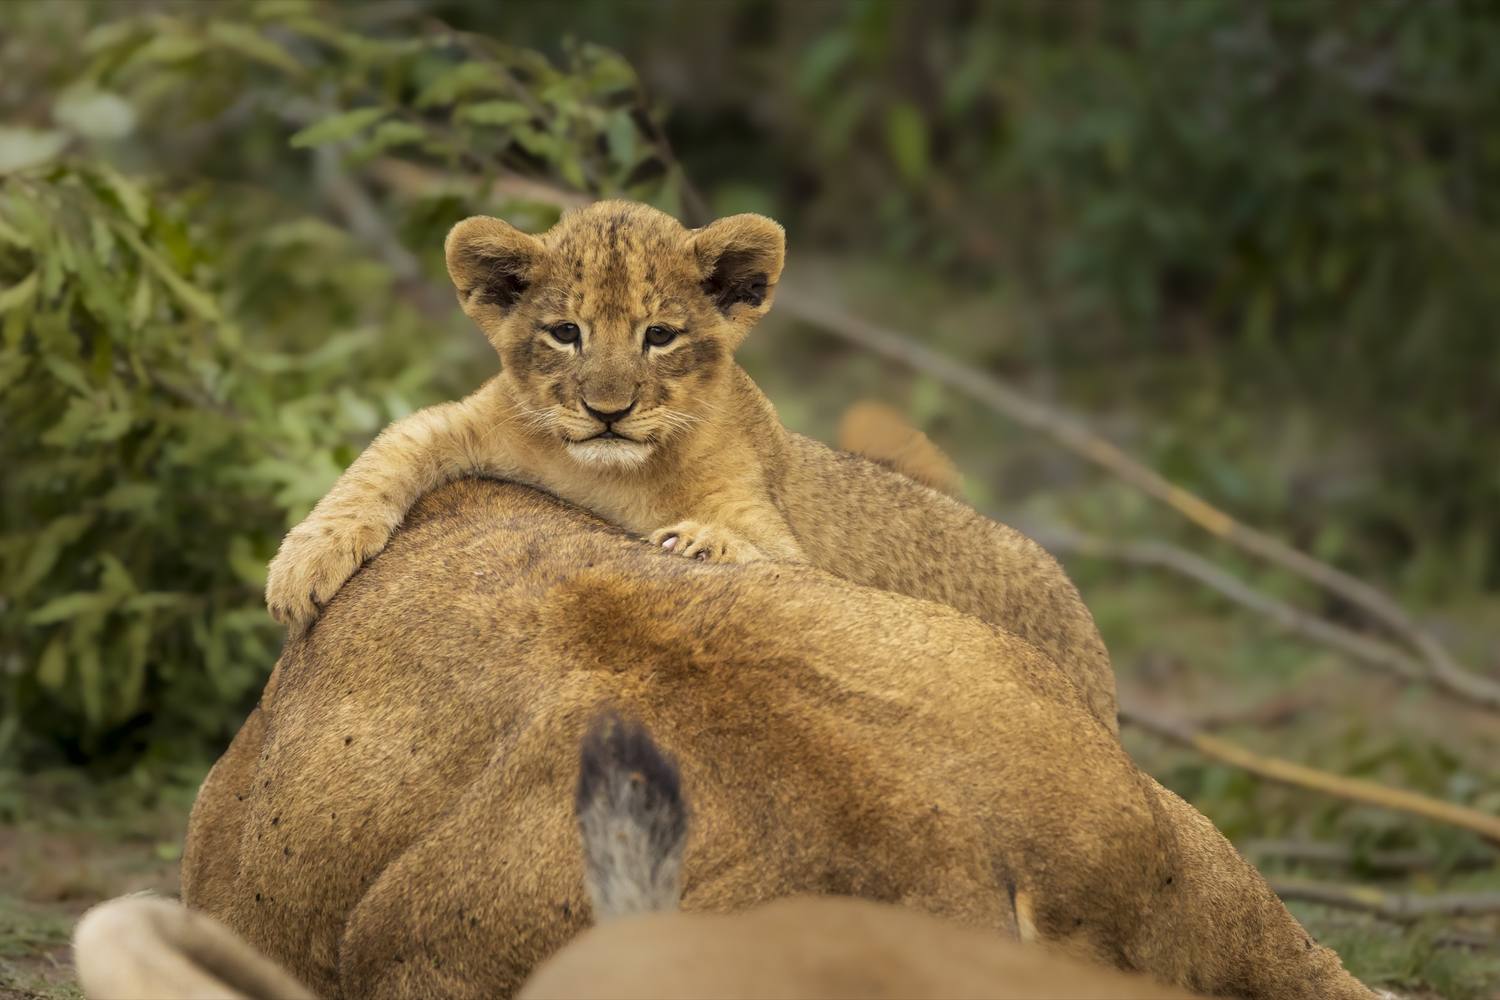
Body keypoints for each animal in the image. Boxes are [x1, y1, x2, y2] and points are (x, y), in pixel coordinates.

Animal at [264, 200, 1117, 730]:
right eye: (566, 332)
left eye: (660, 336)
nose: (608, 410)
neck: (613, 472)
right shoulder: (471, 423)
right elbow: (383, 454)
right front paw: (303, 566)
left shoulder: (787, 538)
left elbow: (767, 554)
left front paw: (701, 541)